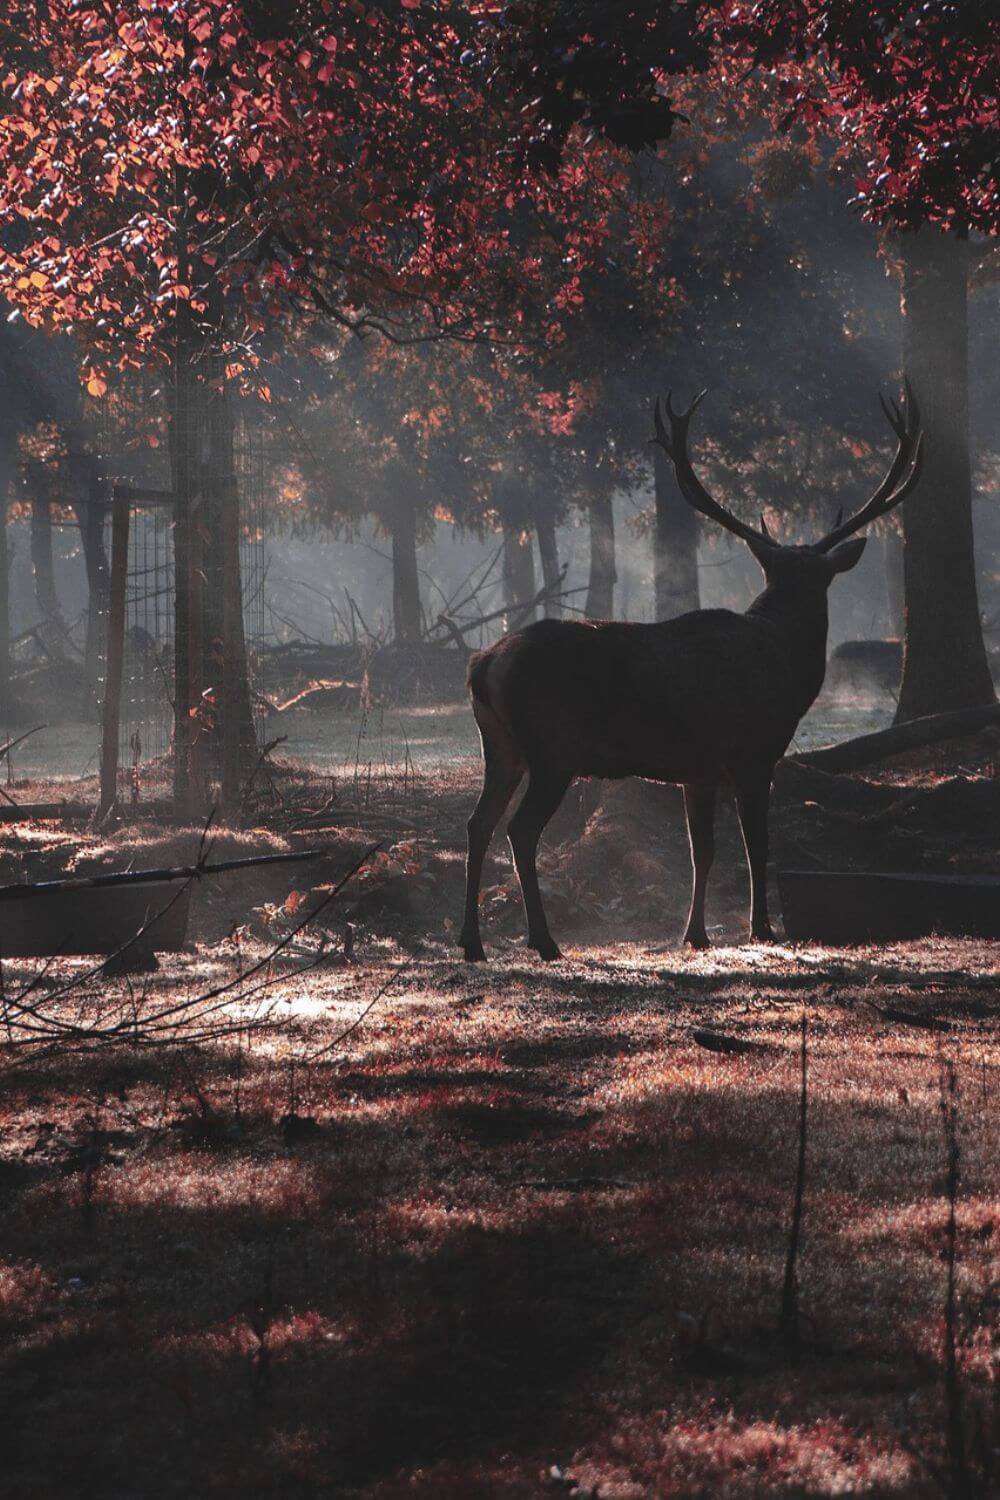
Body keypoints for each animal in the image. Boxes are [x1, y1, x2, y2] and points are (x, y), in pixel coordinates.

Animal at [460, 383, 923, 961]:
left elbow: (701, 849)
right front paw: (762, 928)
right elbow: (755, 844)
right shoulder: (753, 754)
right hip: (553, 747)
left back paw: (472, 942)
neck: (785, 668)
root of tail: (483, 664)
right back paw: (544, 941)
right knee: (519, 830)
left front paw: (696, 933)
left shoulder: (696, 769)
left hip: (500, 746)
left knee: (477, 823)